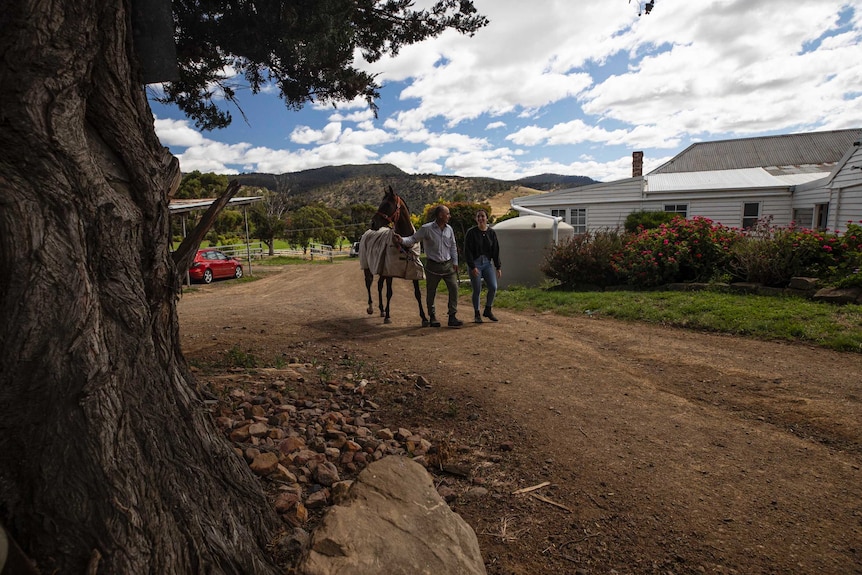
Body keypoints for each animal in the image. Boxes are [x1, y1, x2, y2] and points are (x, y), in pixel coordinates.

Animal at [362, 188, 430, 326]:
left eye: (387, 204)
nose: (373, 223)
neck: (405, 241)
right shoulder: (390, 272)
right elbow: (389, 293)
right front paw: (388, 316)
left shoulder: (413, 272)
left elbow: (418, 294)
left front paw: (424, 318)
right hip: (368, 268)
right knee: (369, 283)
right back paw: (371, 308)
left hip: (381, 269)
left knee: (379, 285)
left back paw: (381, 309)